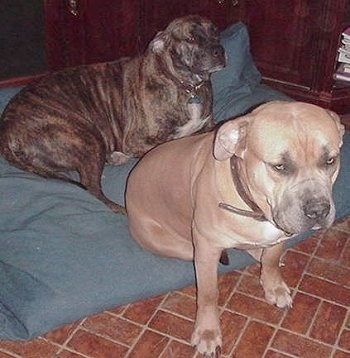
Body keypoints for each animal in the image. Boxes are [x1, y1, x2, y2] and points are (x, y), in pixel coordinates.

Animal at [0, 14, 226, 213]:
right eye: (192, 38)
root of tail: (6, 130)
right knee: (91, 187)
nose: (219, 51)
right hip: (86, 137)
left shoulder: (208, 123)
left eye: (216, 33)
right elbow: (176, 142)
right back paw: (121, 208)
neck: (187, 86)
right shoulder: (136, 141)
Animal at [126, 101, 344, 358]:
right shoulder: (206, 248)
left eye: (330, 160)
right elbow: (208, 294)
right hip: (178, 245)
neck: (254, 206)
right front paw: (207, 332)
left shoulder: (279, 233)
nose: (318, 210)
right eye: (279, 166)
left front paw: (273, 285)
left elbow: (271, 260)